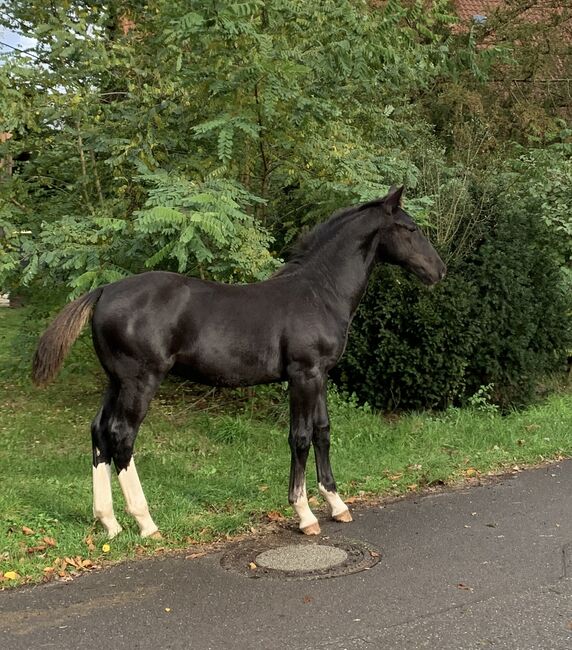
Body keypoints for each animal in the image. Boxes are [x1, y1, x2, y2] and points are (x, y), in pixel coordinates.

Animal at [32, 186, 446, 536]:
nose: (438, 270)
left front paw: (337, 503)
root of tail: (103, 290)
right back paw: (146, 523)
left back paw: (110, 522)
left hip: (114, 381)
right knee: (121, 435)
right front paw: (305, 514)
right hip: (139, 381)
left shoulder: (320, 375)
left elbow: (323, 432)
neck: (318, 293)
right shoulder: (303, 375)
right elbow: (300, 437)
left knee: (99, 432)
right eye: (409, 228)